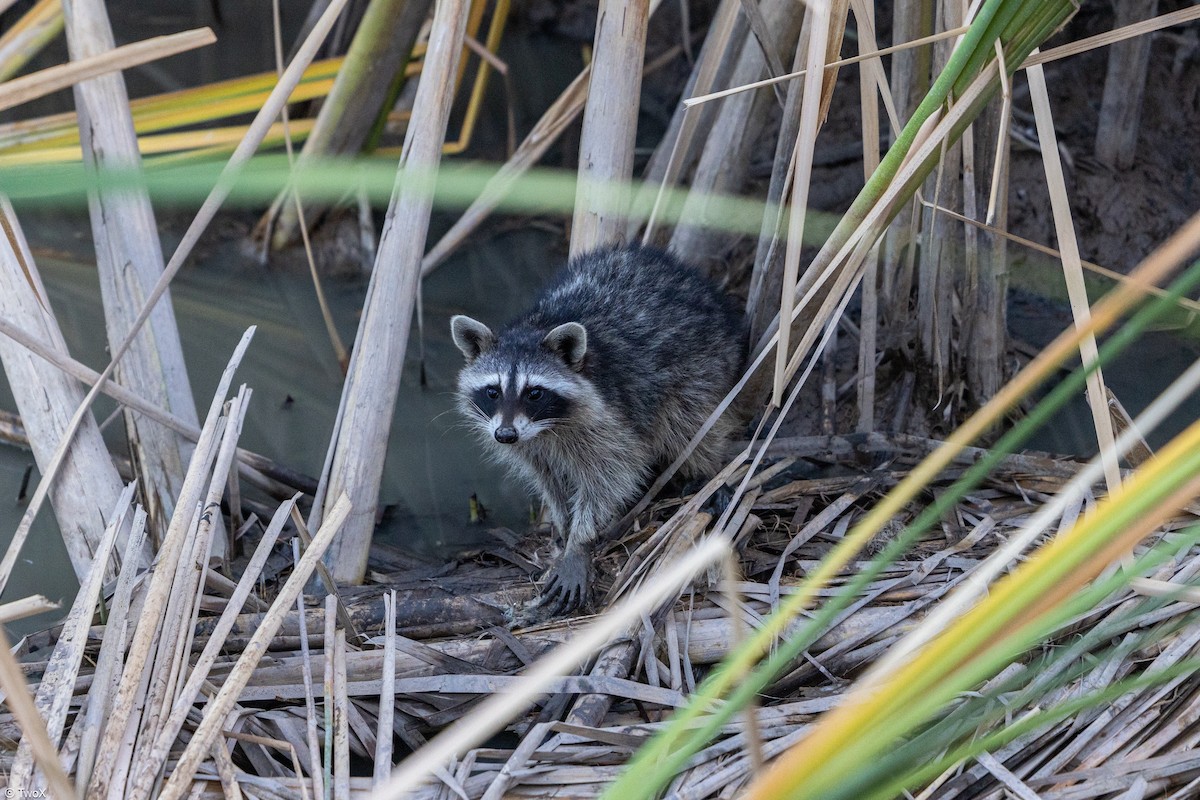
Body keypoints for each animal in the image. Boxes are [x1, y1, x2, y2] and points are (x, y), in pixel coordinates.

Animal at [450, 244, 745, 612]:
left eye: (534, 393)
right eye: (492, 391)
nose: (505, 436)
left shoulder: (608, 420)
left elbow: (614, 474)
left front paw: (580, 541)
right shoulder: (529, 443)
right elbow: (548, 476)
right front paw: (563, 522)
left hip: (703, 365)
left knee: (691, 423)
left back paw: (706, 471)